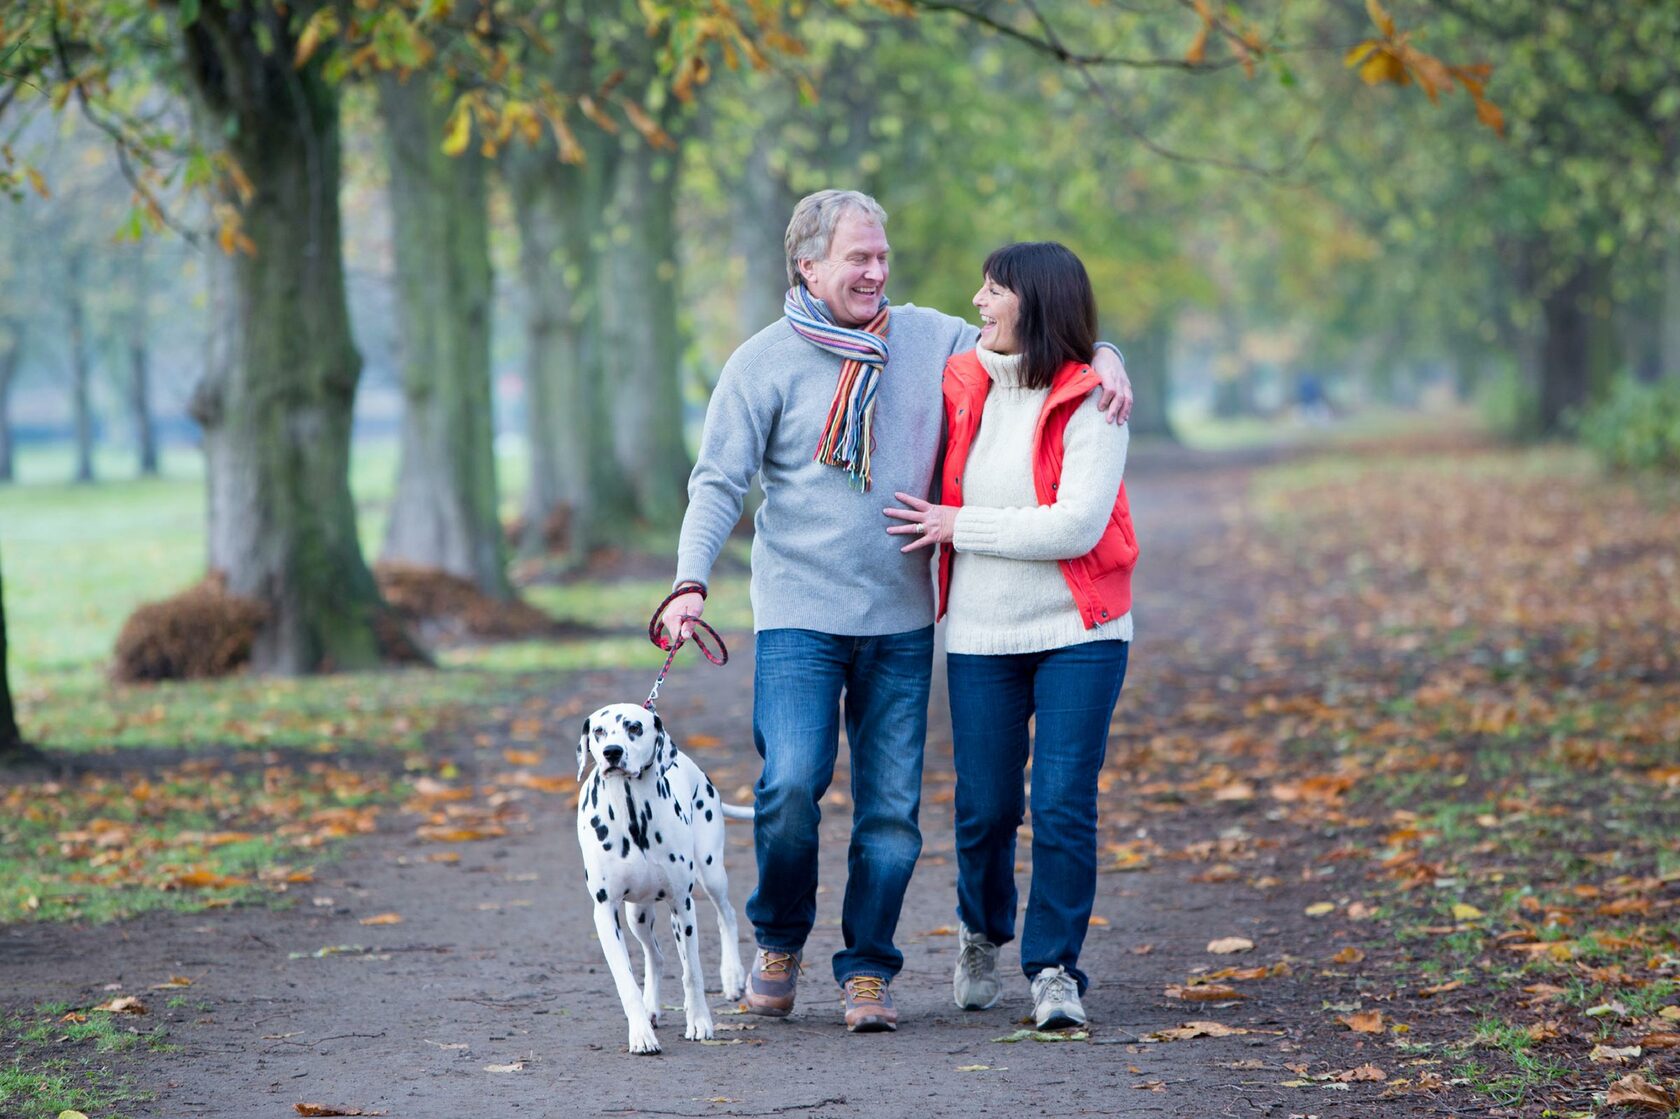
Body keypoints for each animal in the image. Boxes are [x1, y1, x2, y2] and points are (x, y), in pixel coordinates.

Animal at [577, 702, 756, 1048]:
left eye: (634, 727)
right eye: (599, 731)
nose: (612, 752)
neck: (632, 814)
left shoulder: (682, 906)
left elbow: (692, 973)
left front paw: (699, 1021)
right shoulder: (605, 912)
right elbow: (625, 980)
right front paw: (640, 1033)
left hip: (712, 873)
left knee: (726, 914)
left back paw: (732, 976)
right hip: (637, 915)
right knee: (656, 956)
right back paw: (651, 1009)